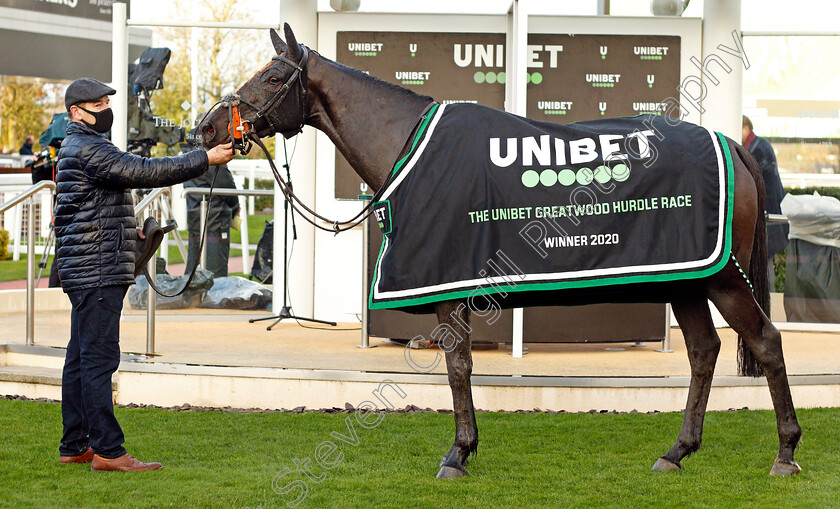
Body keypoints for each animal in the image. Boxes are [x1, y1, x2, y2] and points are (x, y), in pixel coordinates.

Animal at [200, 23, 804, 476]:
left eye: (272, 75)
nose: (208, 127)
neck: (408, 147)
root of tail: (728, 144)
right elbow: (461, 367)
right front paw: (465, 448)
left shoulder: (448, 288)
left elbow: (458, 367)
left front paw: (457, 454)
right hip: (686, 277)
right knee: (703, 352)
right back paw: (676, 452)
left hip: (722, 278)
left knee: (767, 342)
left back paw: (785, 452)